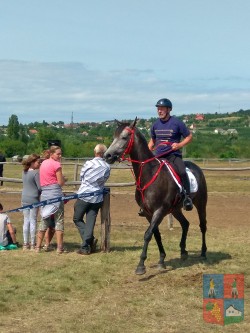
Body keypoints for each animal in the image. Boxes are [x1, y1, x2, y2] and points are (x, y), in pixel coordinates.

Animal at [104, 118, 208, 274]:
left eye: (124, 137)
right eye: (113, 137)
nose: (107, 156)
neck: (149, 174)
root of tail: (197, 168)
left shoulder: (159, 210)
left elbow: (148, 234)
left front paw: (141, 265)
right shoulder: (148, 213)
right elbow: (155, 234)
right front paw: (161, 260)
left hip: (201, 204)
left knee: (203, 226)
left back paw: (203, 252)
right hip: (175, 209)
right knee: (185, 224)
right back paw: (183, 251)